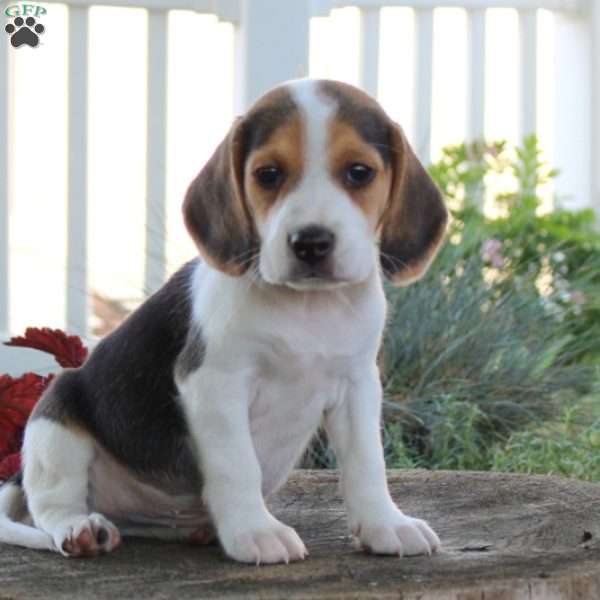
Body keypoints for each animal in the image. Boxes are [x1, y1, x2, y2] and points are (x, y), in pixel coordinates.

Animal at [0, 78, 446, 564]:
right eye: (268, 174)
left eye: (359, 172)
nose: (310, 242)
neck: (308, 307)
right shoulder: (215, 384)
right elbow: (238, 464)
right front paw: (256, 531)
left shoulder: (358, 385)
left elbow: (367, 462)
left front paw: (386, 524)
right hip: (56, 419)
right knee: (50, 504)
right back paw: (81, 529)